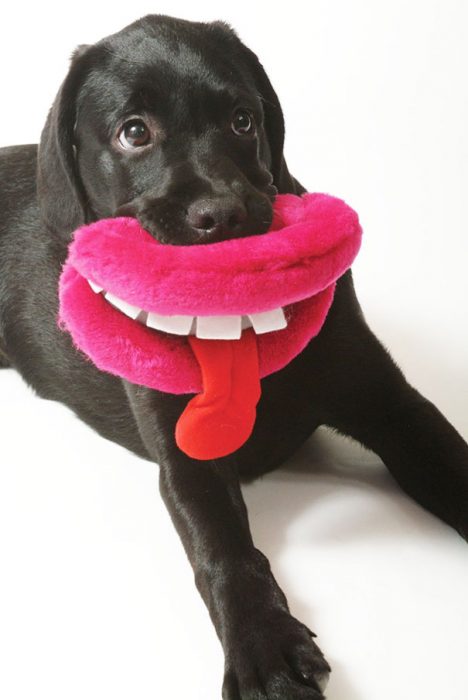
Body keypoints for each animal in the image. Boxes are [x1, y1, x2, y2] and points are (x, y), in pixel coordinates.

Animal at [0, 15, 468, 700]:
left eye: (244, 120)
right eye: (134, 132)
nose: (222, 213)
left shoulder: (390, 403)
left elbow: (454, 462)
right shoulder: (187, 456)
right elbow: (223, 550)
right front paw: (264, 646)